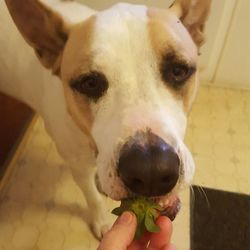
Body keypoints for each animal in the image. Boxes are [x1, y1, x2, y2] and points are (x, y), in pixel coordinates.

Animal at [0, 0, 211, 238]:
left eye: (178, 71)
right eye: (90, 83)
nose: (151, 171)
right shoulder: (77, 166)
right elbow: (93, 198)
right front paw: (101, 221)